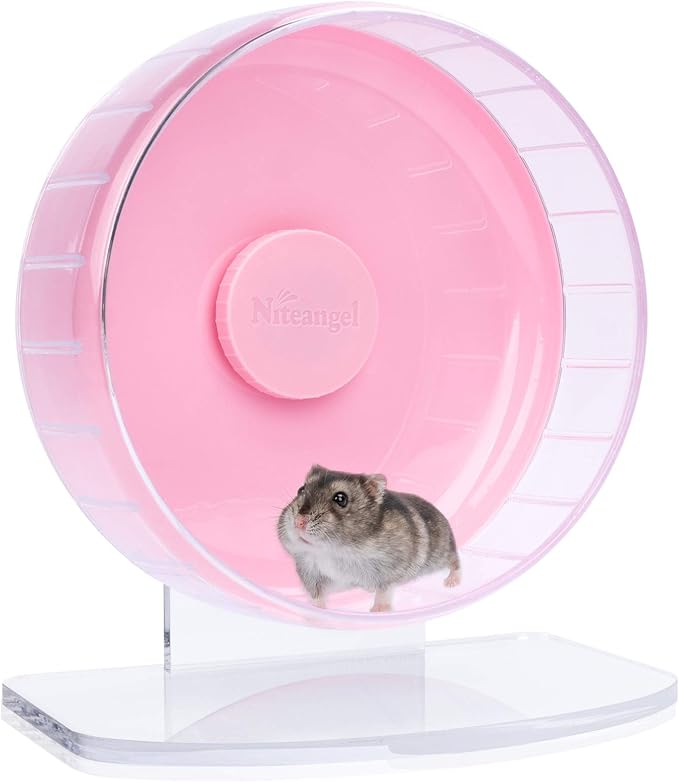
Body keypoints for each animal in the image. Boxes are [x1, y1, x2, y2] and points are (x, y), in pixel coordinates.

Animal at [277, 465, 461, 612]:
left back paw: (451, 582)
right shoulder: (310, 571)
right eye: (301, 489)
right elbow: (316, 594)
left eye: (340, 498)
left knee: (455, 561)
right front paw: (315, 610)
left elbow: (384, 590)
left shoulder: (391, 569)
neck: (334, 550)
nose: (298, 522)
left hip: (442, 552)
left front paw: (377, 610)